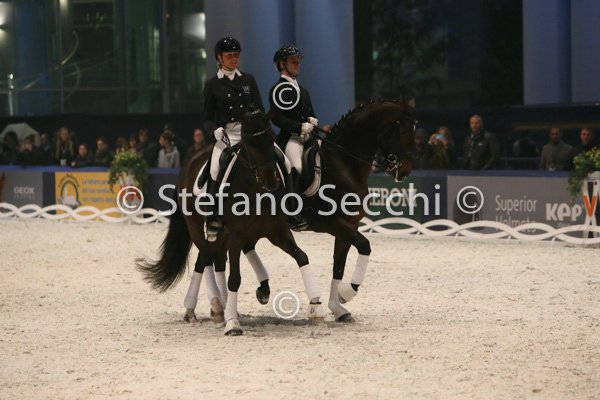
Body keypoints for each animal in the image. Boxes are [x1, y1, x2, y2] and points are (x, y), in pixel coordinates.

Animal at [137, 108, 326, 335]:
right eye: (250, 145)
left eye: (270, 140)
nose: (271, 182)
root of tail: (189, 162)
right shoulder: (236, 235)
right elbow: (234, 278)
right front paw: (232, 324)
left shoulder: (277, 231)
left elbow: (302, 257)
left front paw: (316, 308)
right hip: (197, 227)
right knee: (207, 259)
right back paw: (217, 307)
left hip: (222, 236)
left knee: (215, 260)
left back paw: (220, 307)